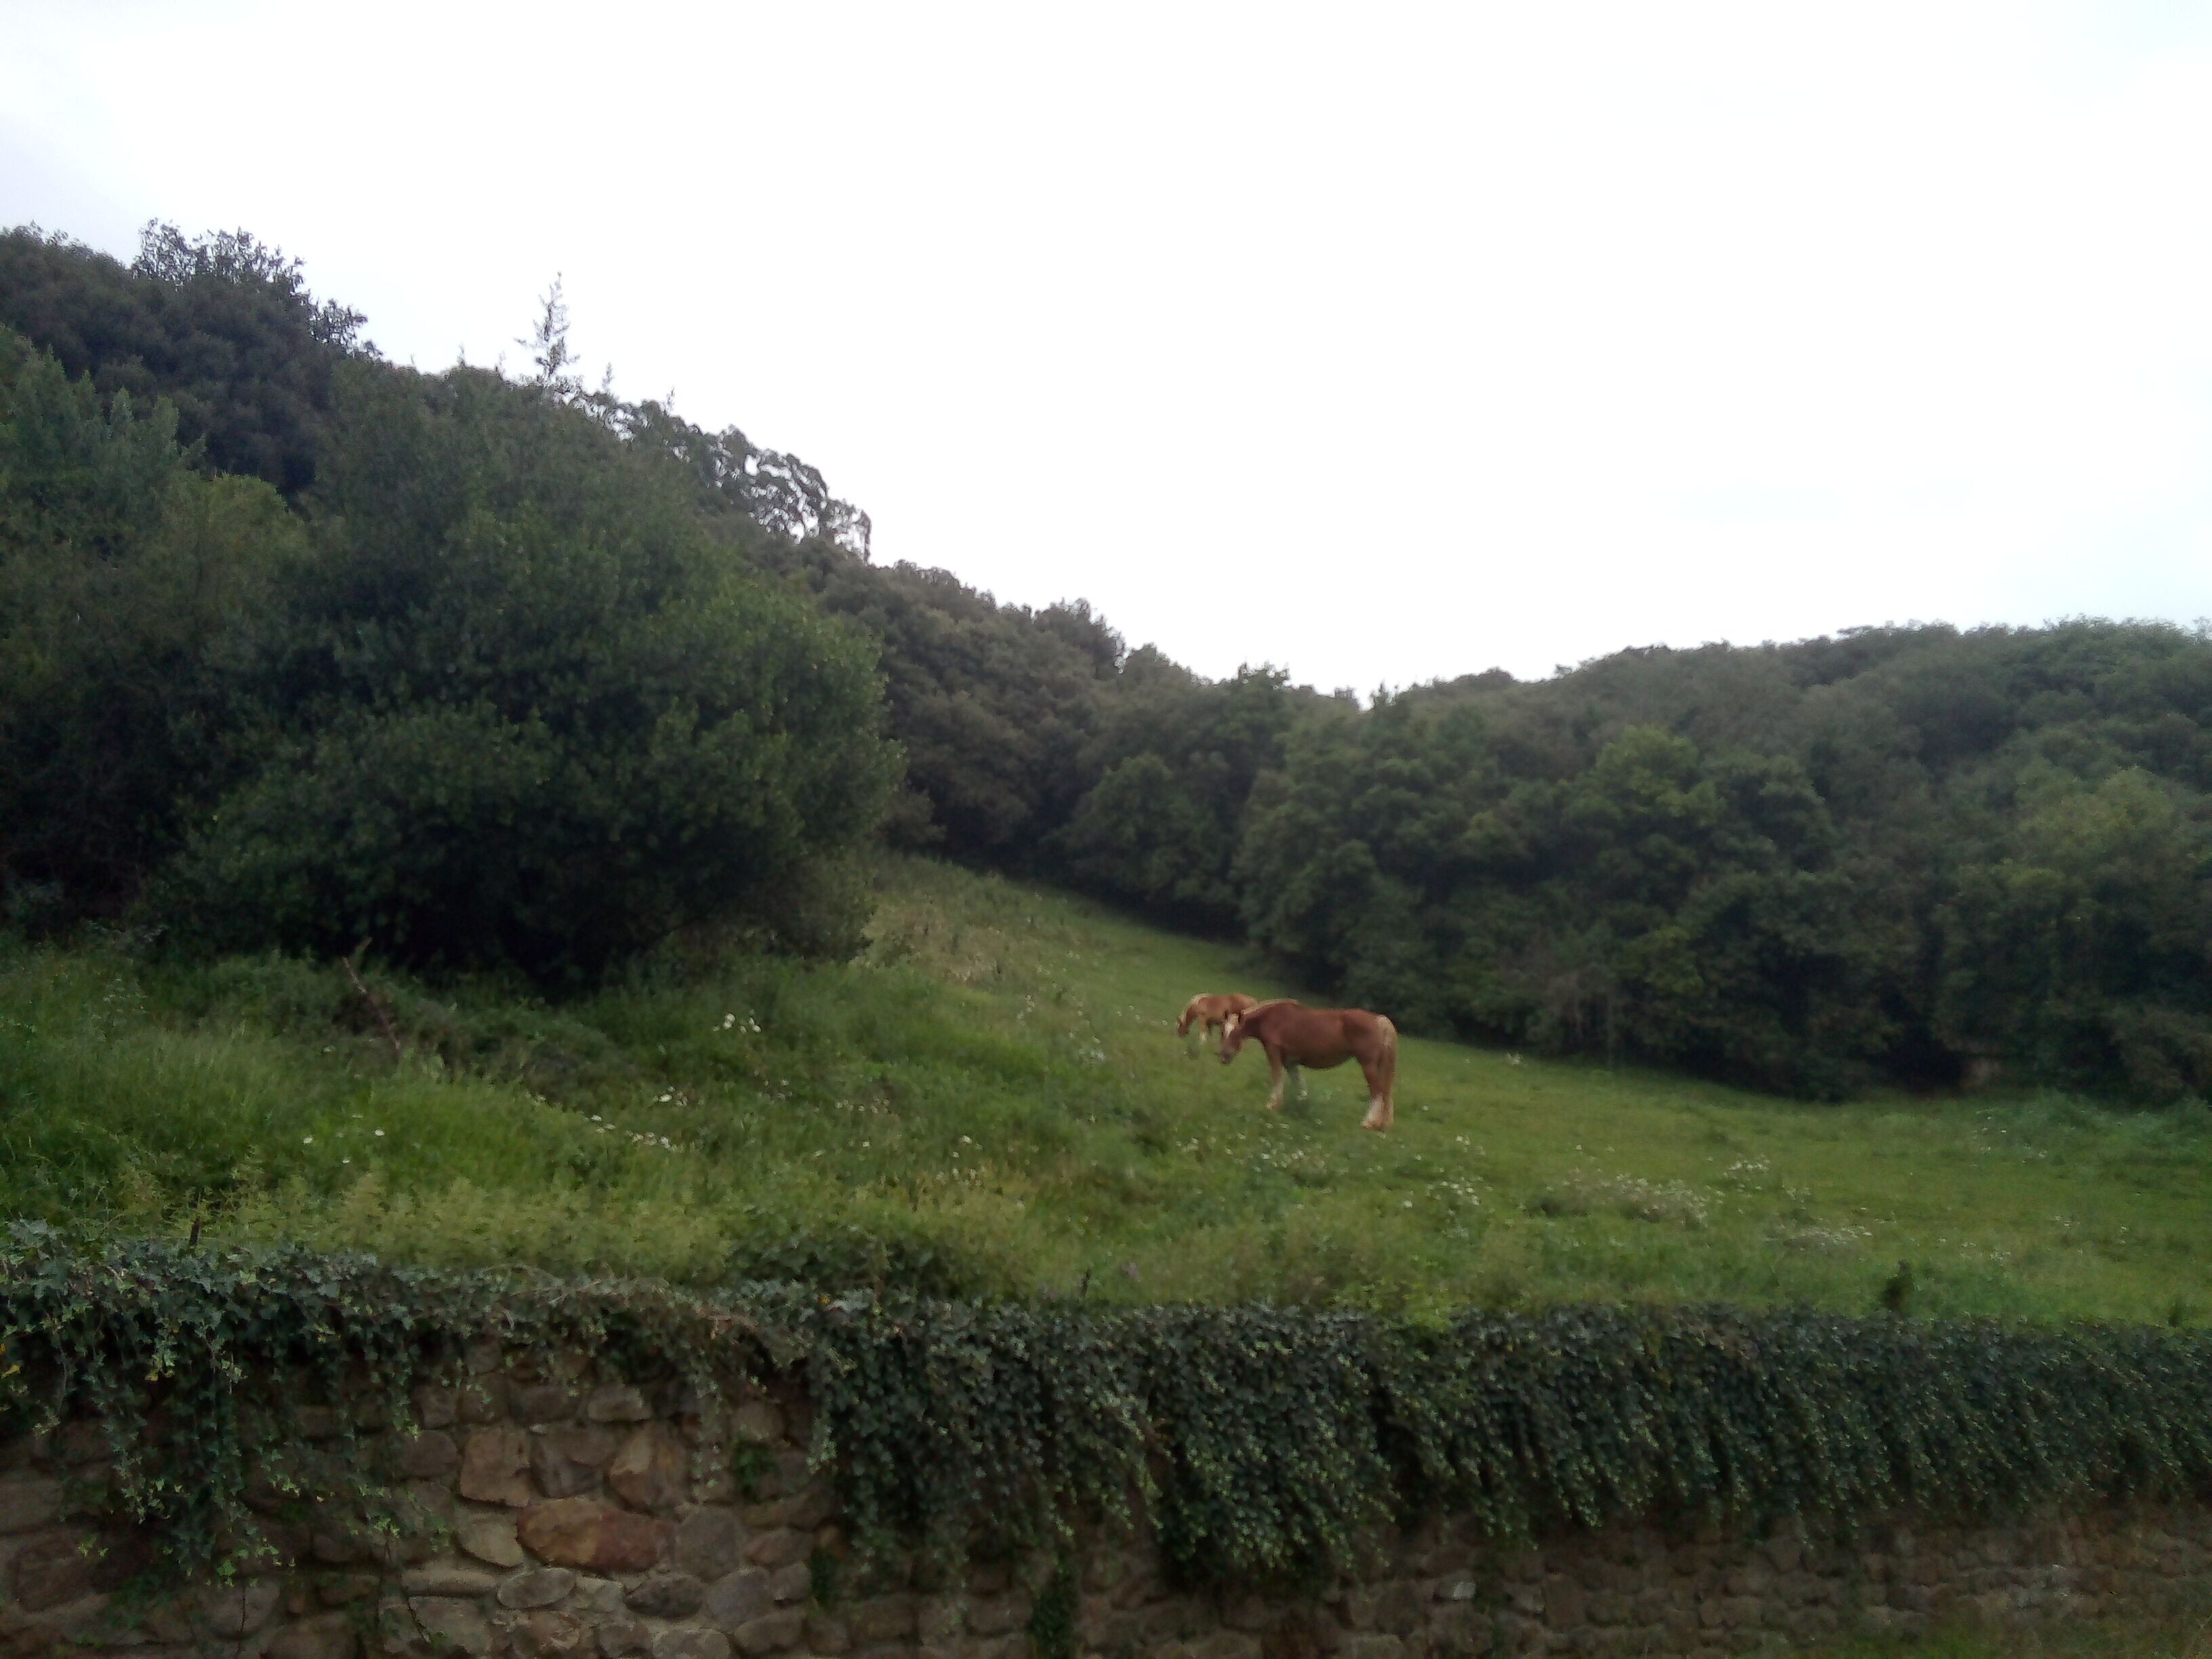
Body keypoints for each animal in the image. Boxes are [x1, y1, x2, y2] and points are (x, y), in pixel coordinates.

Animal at [1219, 999, 1399, 1130]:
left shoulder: (1274, 1054)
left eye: (1235, 1033)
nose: (1224, 1056)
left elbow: (1277, 1079)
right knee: (1384, 1091)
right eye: (1223, 1032)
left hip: (1368, 1065)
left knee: (1377, 1091)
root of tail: (1378, 1020)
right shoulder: (1290, 1062)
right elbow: (1299, 1085)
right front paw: (1301, 1105)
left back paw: (1368, 1122)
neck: (1272, 1018)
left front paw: (1272, 1105)